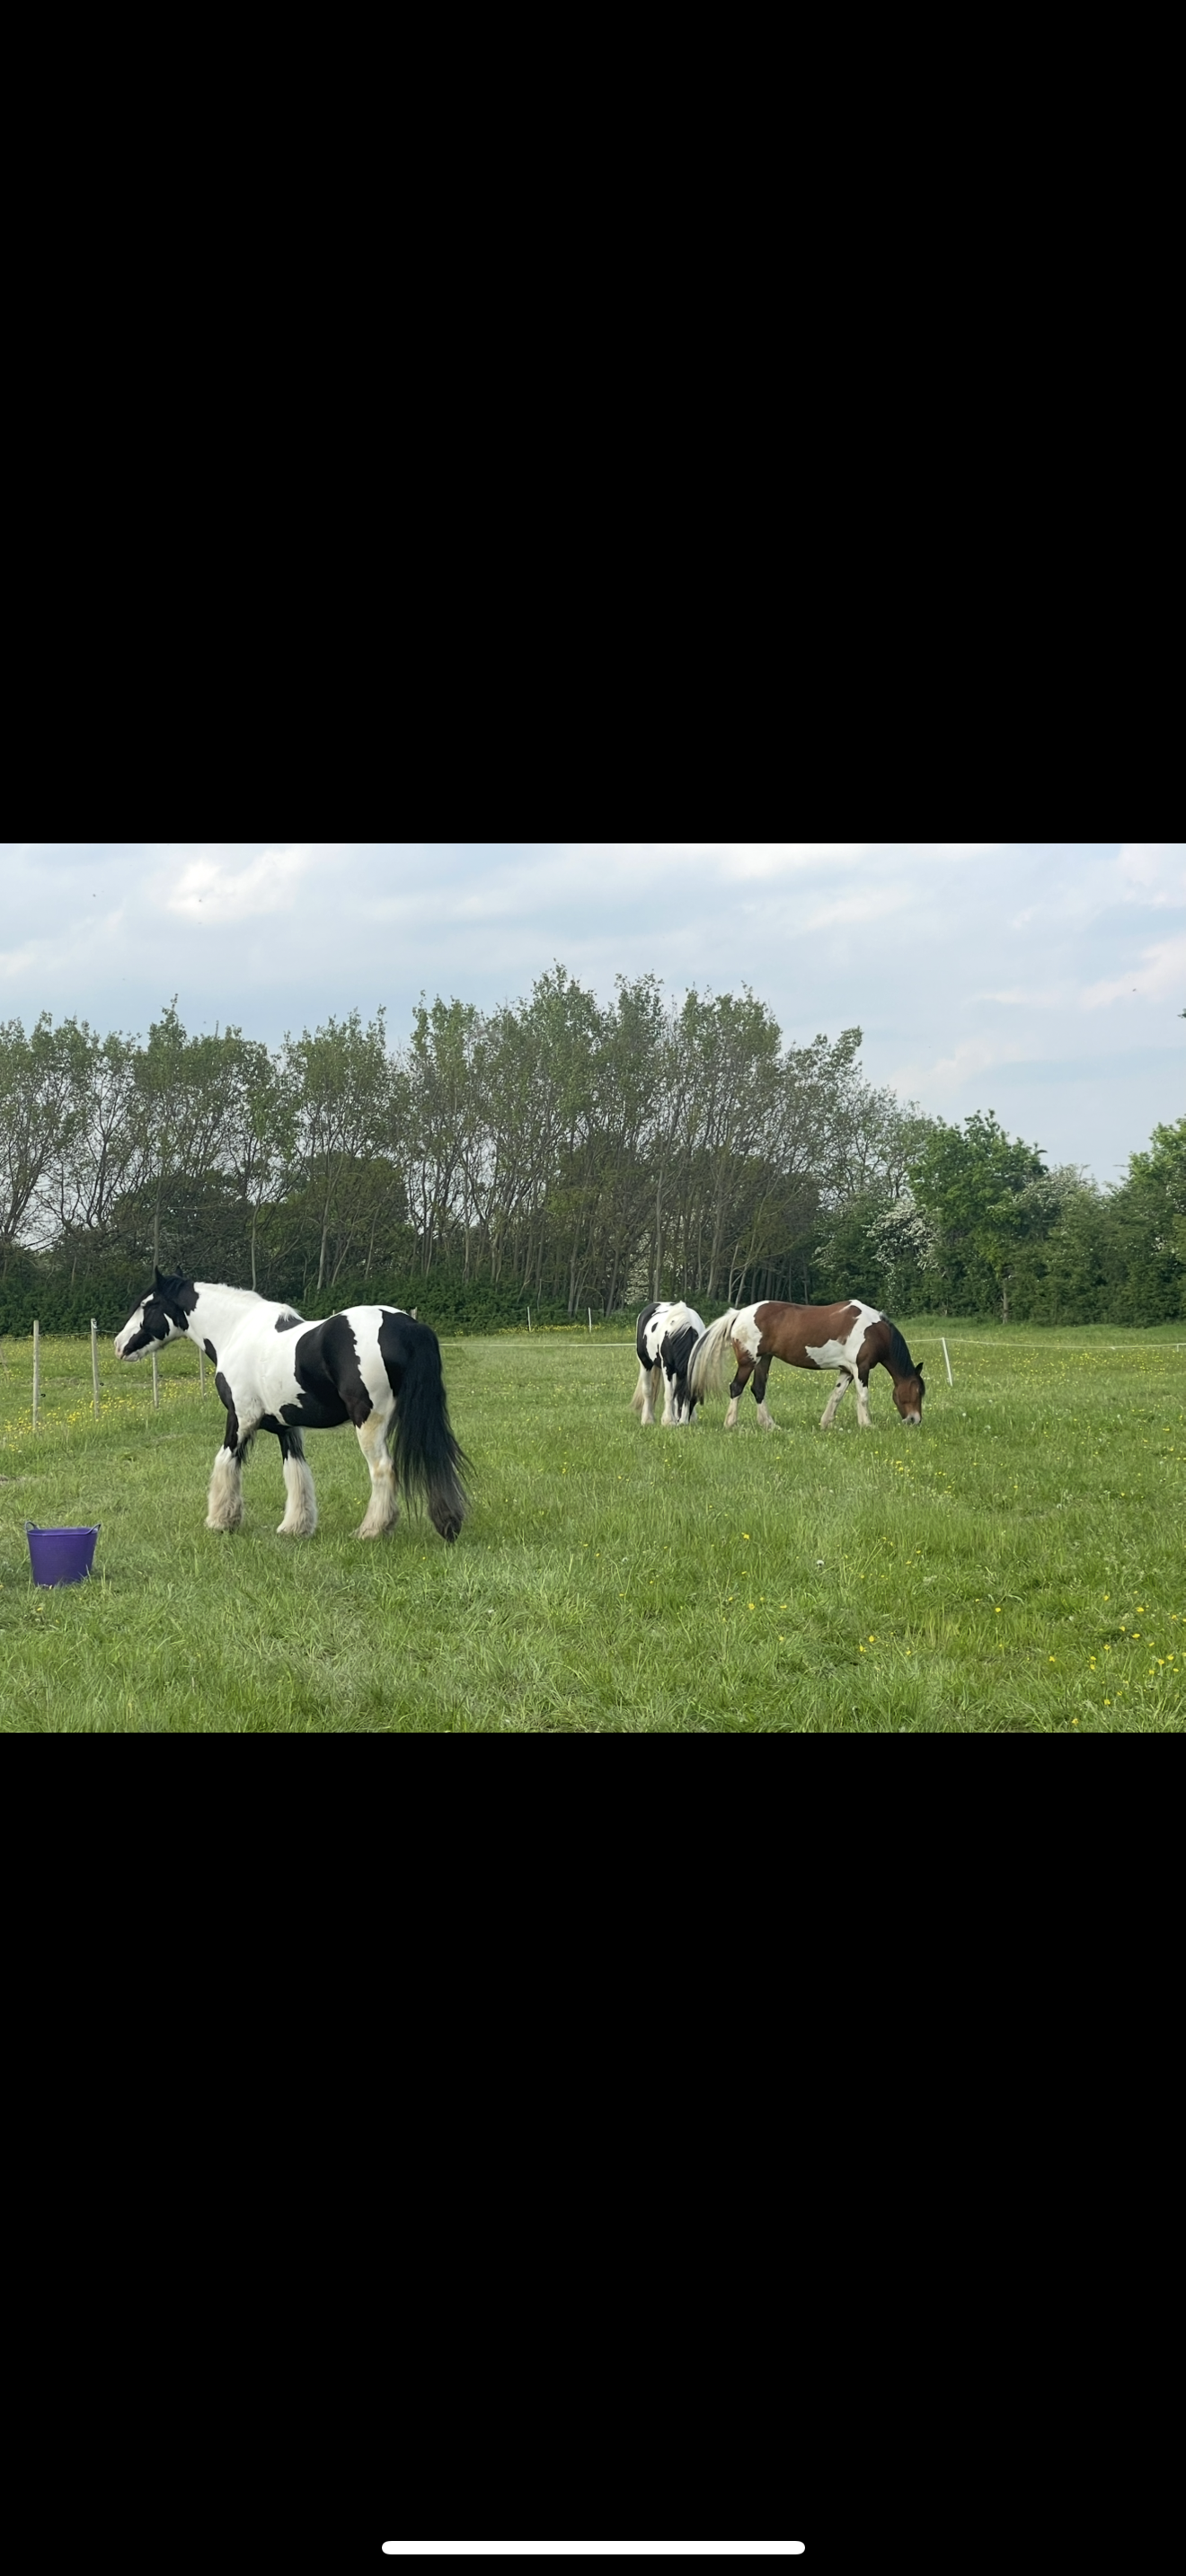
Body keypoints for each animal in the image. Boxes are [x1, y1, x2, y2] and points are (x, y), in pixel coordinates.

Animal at [114, 1270, 469, 1540]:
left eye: (148, 1305)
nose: (119, 1345)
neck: (235, 1331)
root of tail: (407, 1325)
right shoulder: (287, 1427)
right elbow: (296, 1472)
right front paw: (296, 1527)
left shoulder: (240, 1418)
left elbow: (226, 1461)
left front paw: (220, 1520)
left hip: (369, 1421)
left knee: (382, 1469)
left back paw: (371, 1530)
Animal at [631, 1298, 708, 1425]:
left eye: (692, 1399)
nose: (683, 1422)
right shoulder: (667, 1367)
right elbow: (669, 1394)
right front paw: (669, 1421)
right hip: (645, 1362)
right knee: (648, 1391)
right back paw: (647, 1419)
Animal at [687, 1299, 925, 1430]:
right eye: (918, 1392)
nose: (915, 1420)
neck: (873, 1330)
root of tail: (738, 1314)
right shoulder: (861, 1367)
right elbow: (863, 1397)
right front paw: (867, 1424)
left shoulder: (847, 1371)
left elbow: (836, 1396)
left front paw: (827, 1423)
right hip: (749, 1361)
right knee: (736, 1388)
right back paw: (731, 1424)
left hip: (764, 1359)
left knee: (758, 1389)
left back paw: (770, 1425)